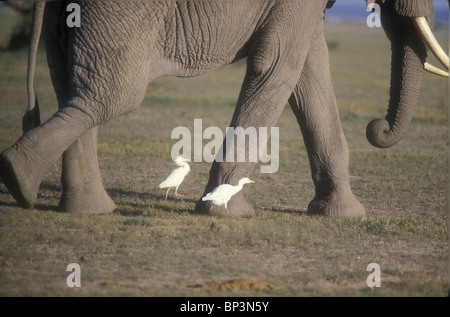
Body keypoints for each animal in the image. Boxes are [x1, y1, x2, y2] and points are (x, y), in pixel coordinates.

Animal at [0, 0, 444, 217]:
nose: (376, 127)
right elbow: (279, 64)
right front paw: (228, 213)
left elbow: (310, 69)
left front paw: (343, 215)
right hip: (117, 14)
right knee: (111, 95)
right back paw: (18, 177)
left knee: (70, 86)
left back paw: (79, 207)